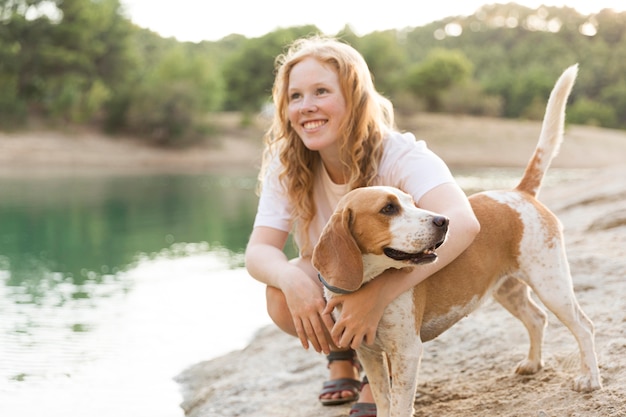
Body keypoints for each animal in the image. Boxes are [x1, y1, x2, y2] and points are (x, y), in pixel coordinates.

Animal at [312, 63, 600, 414]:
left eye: (412, 201)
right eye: (389, 208)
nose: (443, 221)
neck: (368, 282)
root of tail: (519, 192)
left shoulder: (407, 351)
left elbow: (400, 406)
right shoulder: (369, 354)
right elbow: (383, 401)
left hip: (552, 285)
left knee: (584, 326)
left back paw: (590, 379)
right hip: (509, 290)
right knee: (537, 319)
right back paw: (533, 363)